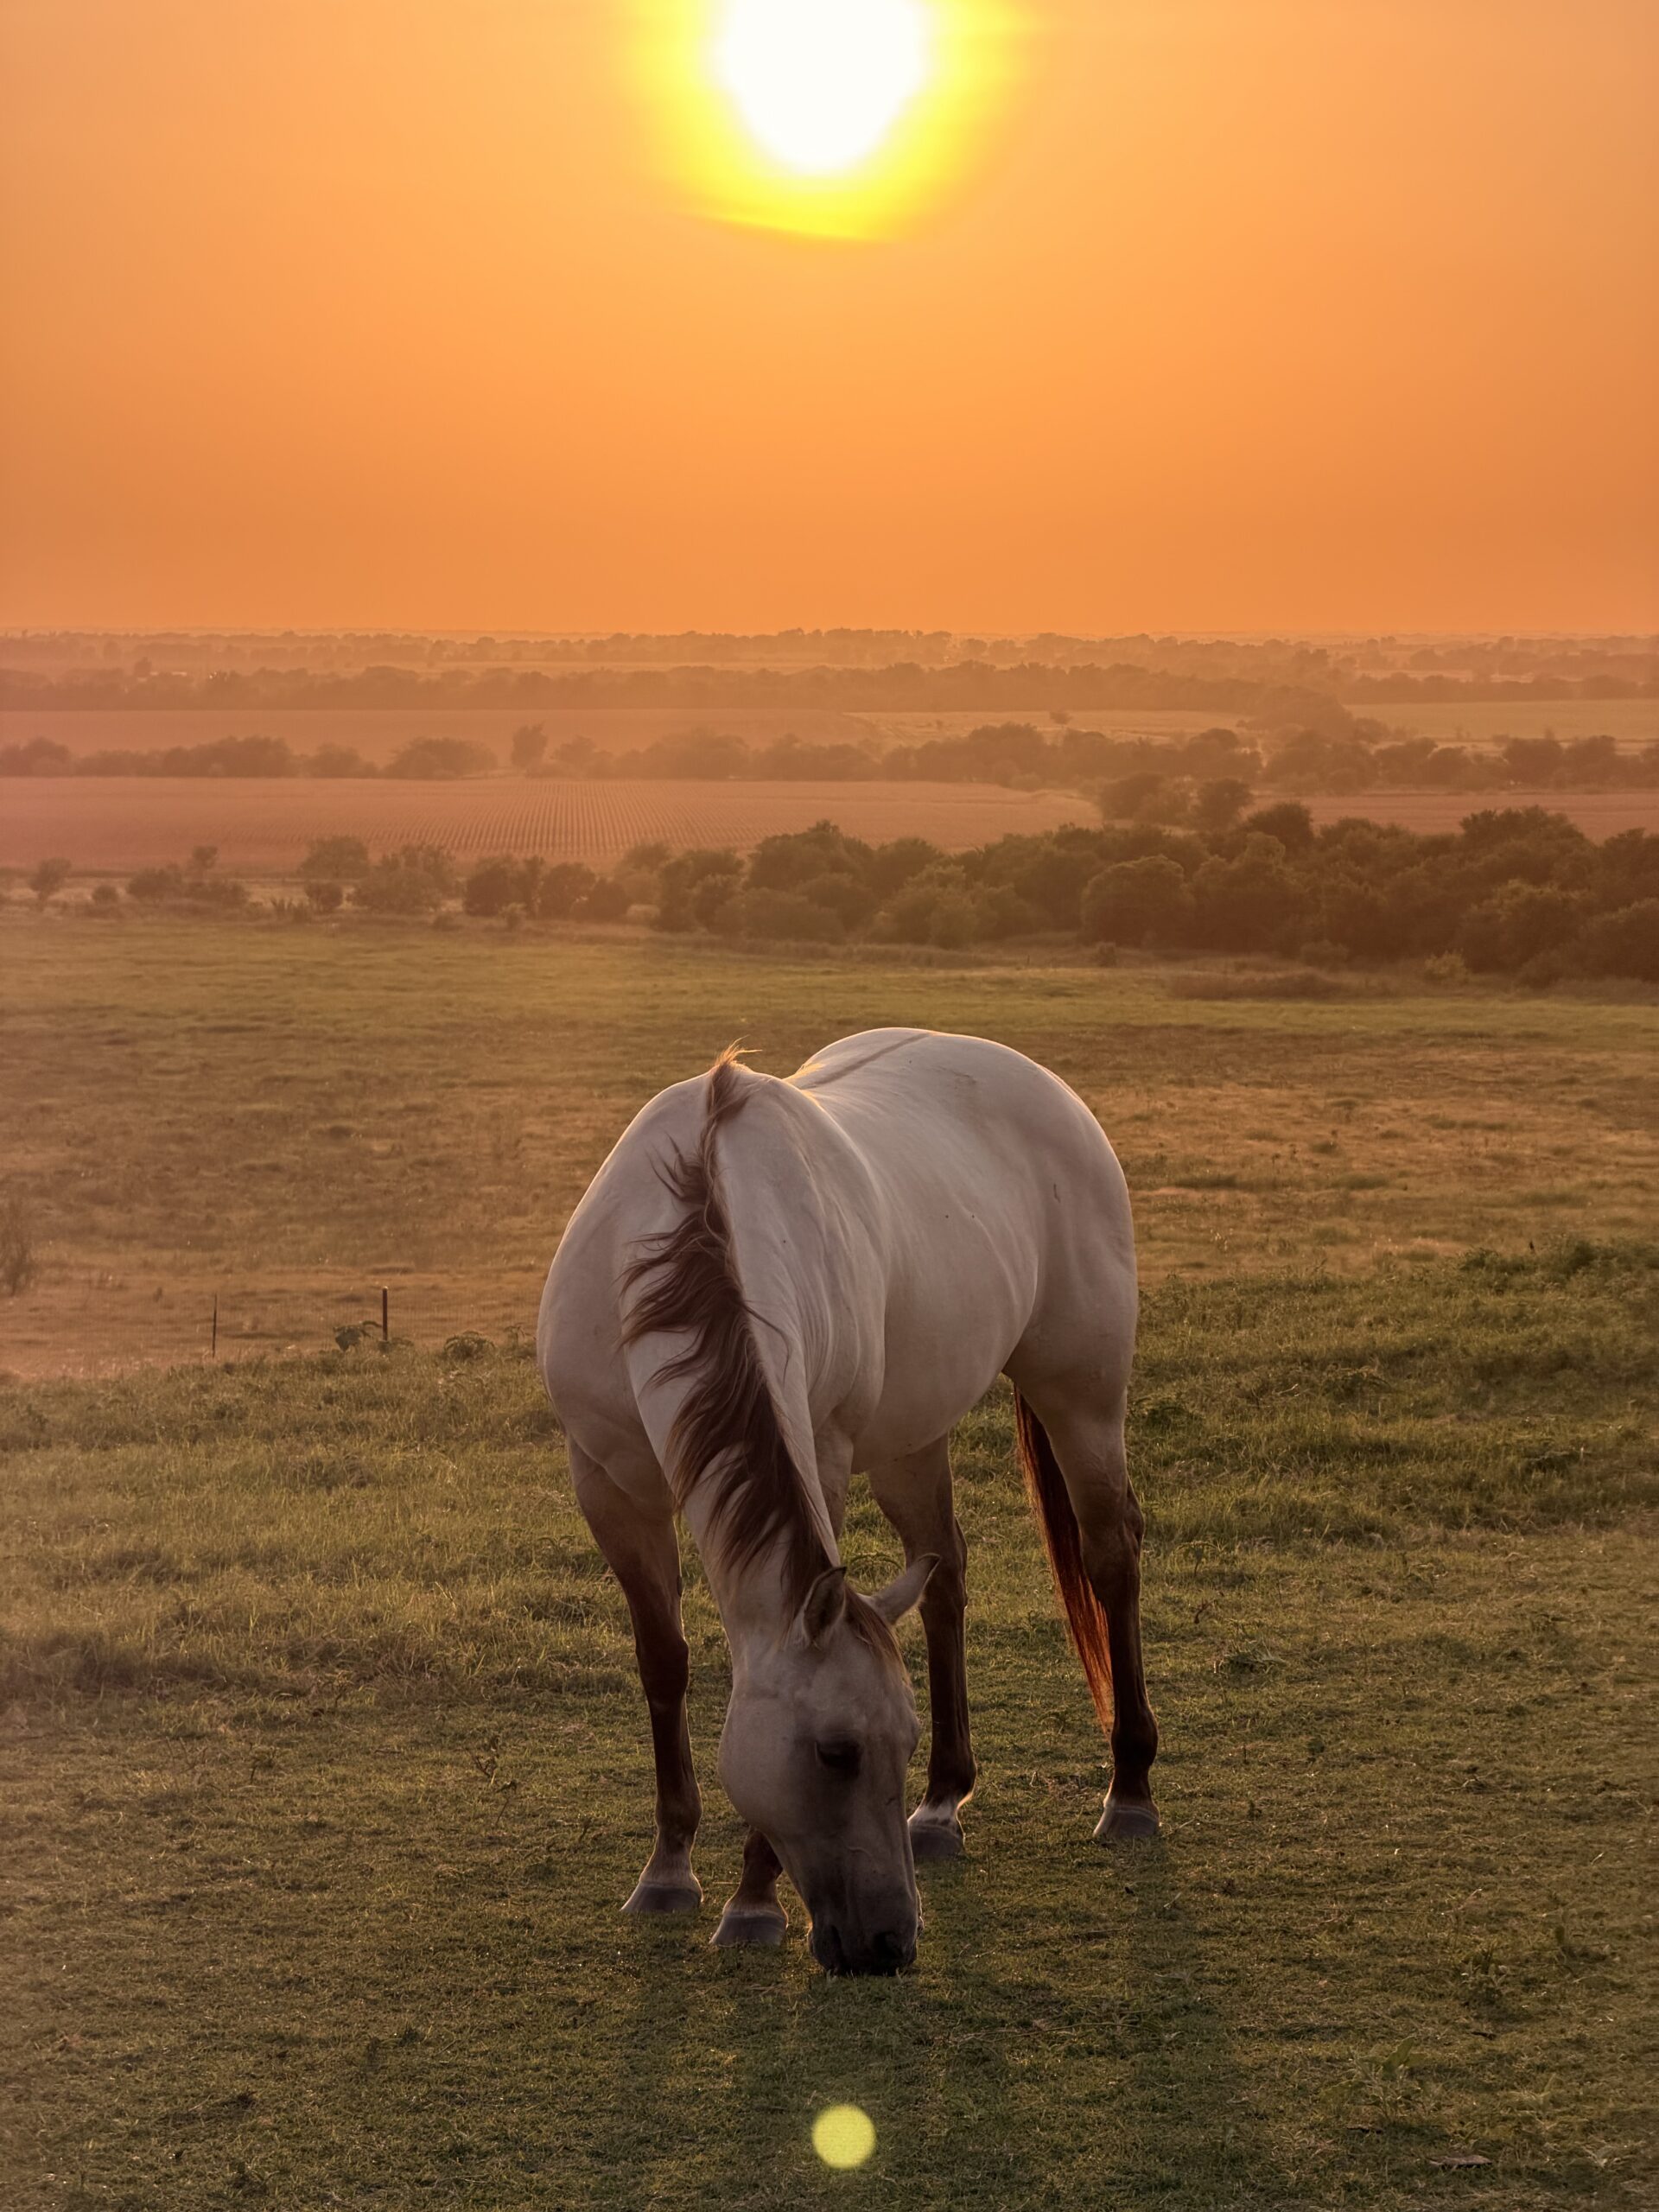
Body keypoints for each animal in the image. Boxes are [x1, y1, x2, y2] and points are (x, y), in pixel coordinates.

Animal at [537, 1027, 1157, 1975]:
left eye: (890, 1742)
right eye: (840, 1752)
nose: (889, 1942)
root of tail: (1044, 1085)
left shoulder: (819, 1456)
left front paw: (752, 1900)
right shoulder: (608, 1483)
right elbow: (663, 1661)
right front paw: (669, 1869)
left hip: (1082, 1397)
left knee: (1109, 1555)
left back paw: (1129, 1791)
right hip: (910, 1442)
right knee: (944, 1575)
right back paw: (942, 1808)